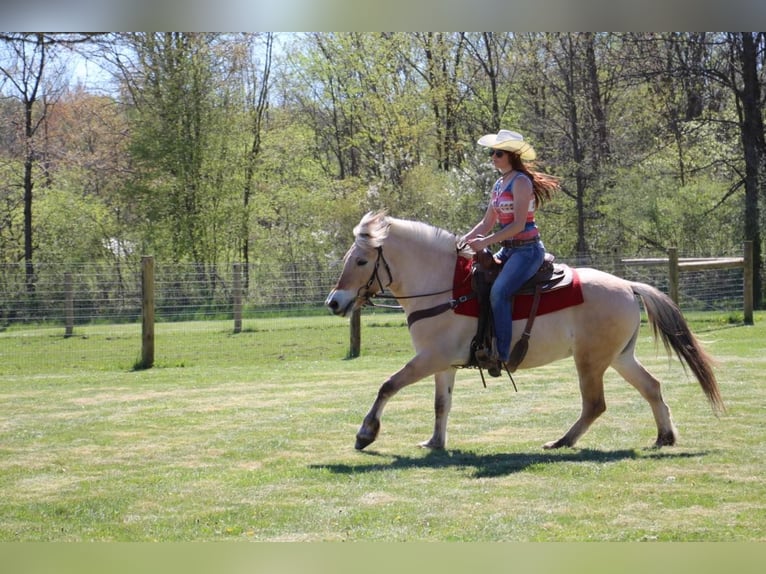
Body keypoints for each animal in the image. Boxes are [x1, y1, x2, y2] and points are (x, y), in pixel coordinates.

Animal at [326, 213, 728, 454]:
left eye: (362, 260)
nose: (334, 302)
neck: (446, 287)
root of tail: (629, 286)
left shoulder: (430, 358)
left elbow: (388, 385)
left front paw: (366, 433)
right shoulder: (443, 364)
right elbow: (442, 404)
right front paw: (435, 442)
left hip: (590, 362)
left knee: (595, 404)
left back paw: (563, 440)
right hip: (619, 357)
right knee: (652, 387)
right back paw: (664, 436)